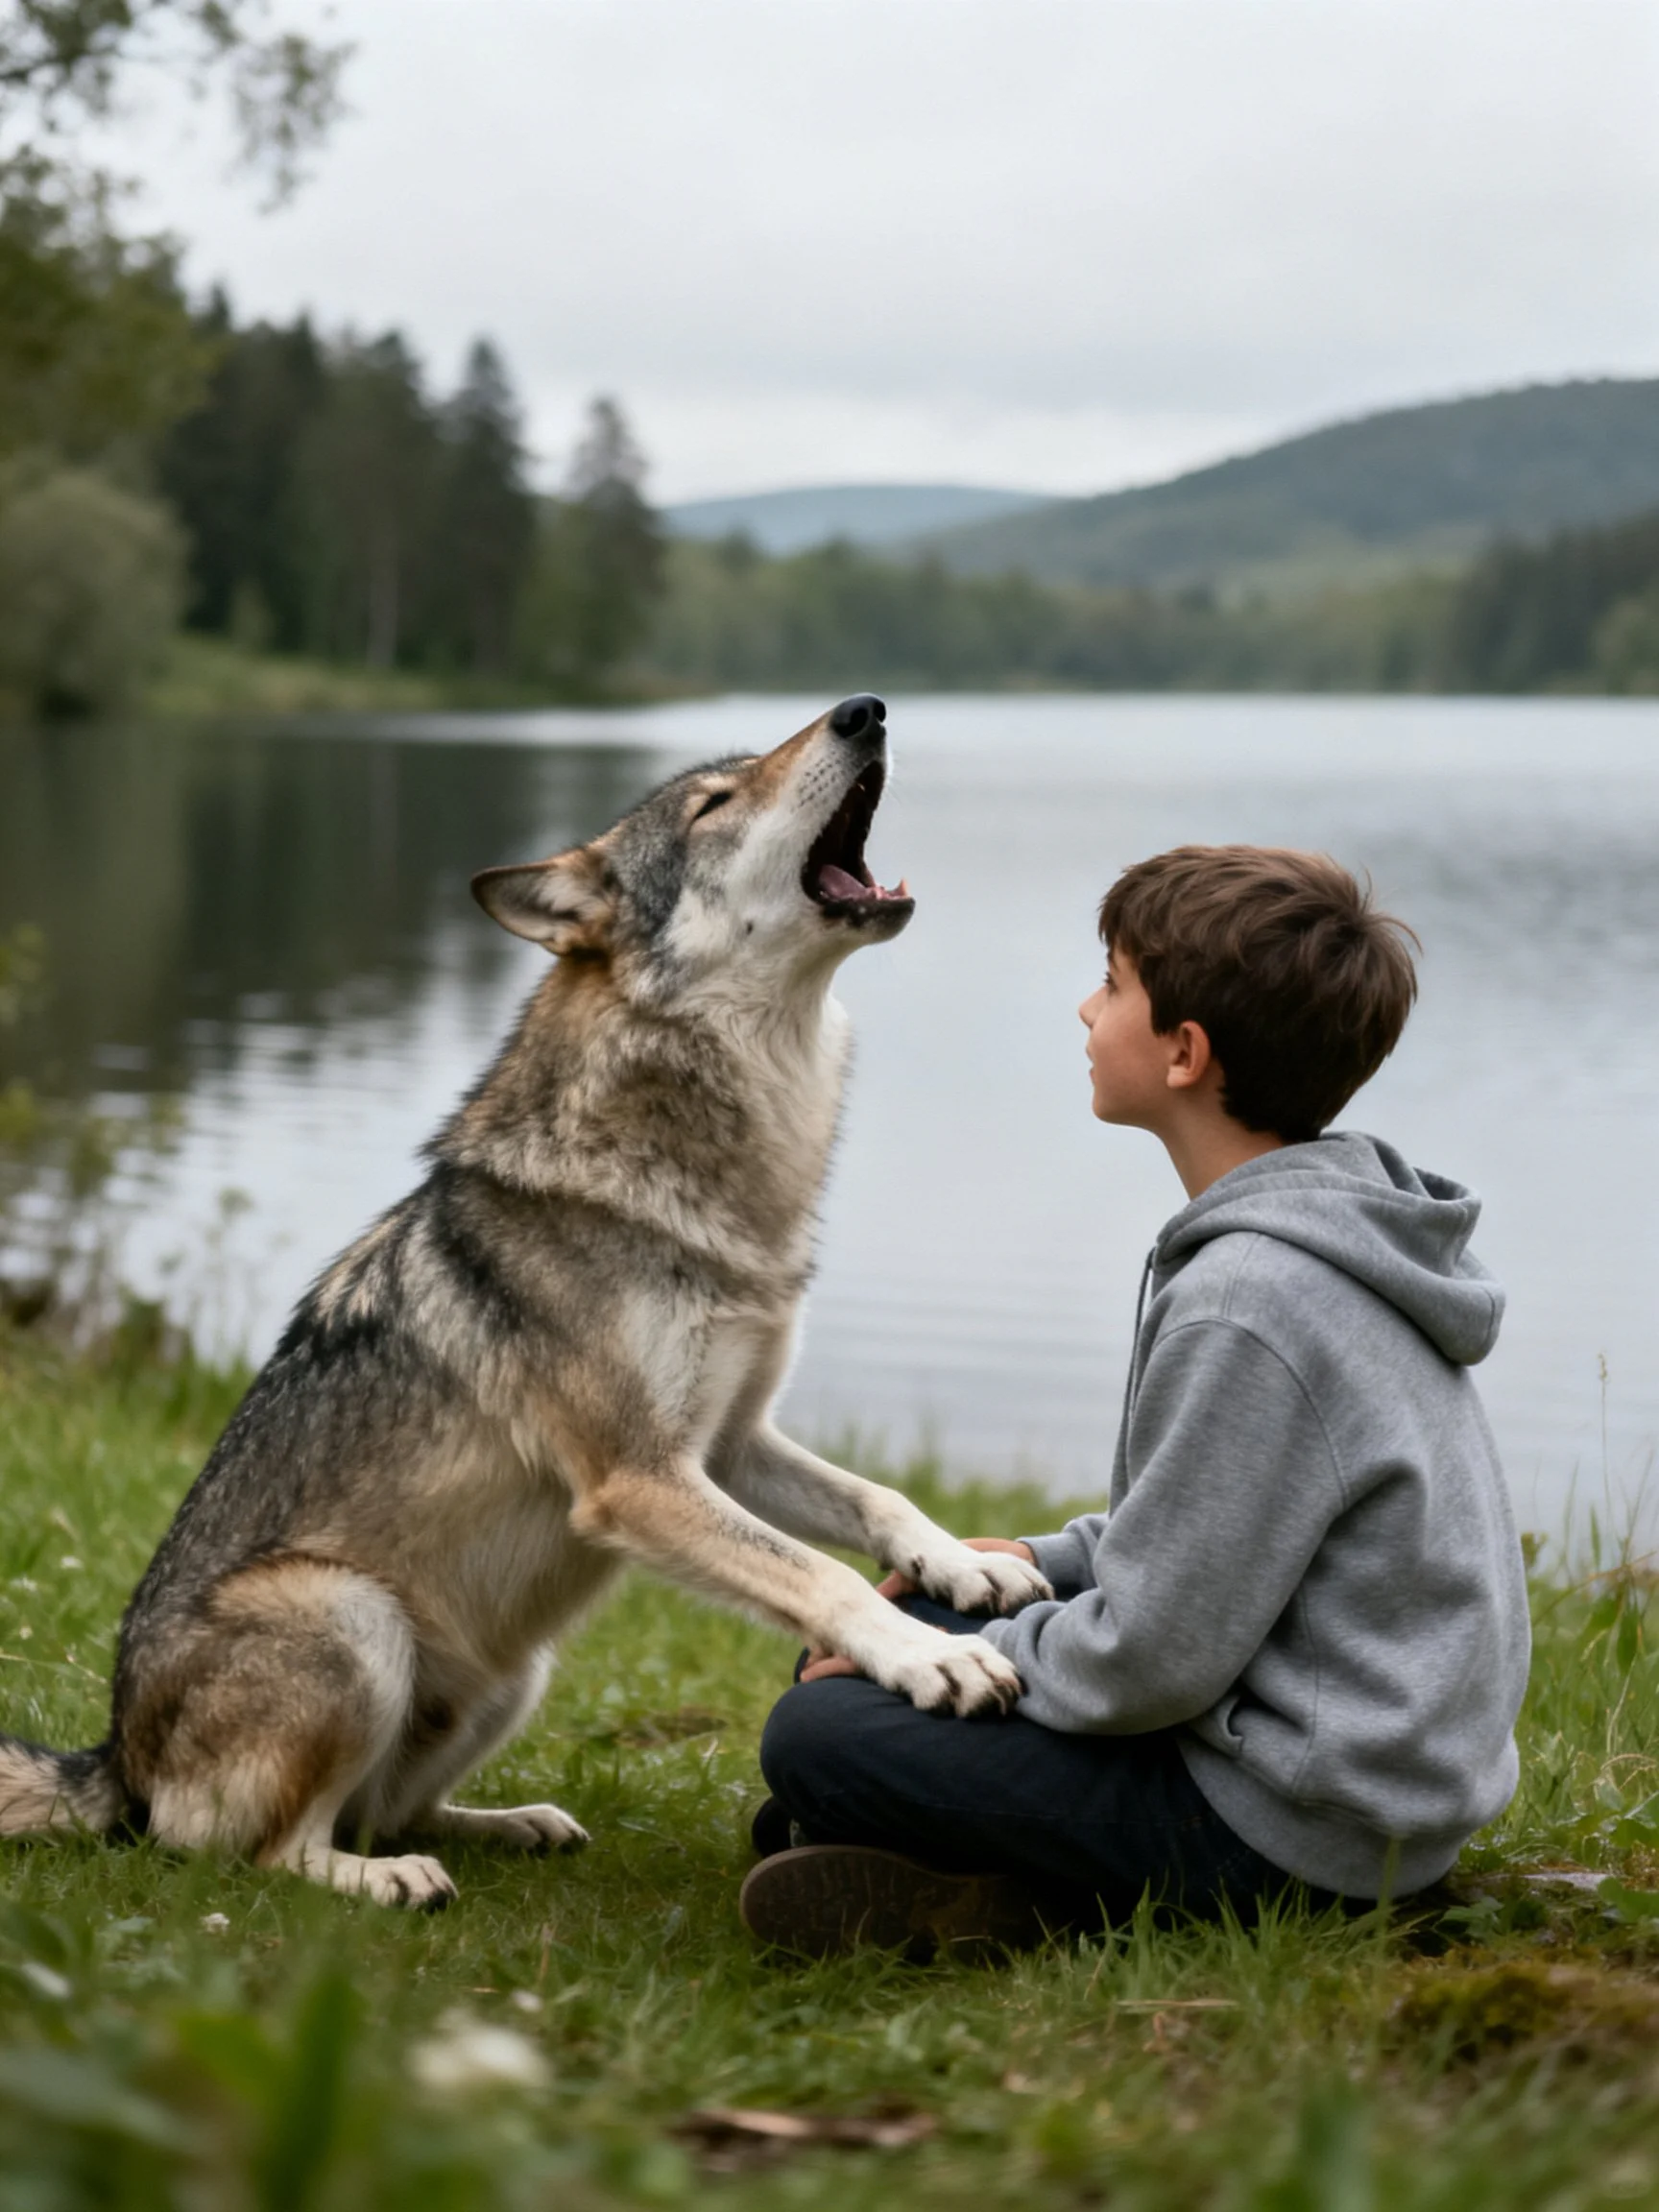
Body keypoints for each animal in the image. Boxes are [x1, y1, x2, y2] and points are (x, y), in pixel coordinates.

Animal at [0, 696, 1052, 1907]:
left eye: (745, 773)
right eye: (715, 802)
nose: (864, 710)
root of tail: (111, 1763)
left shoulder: (729, 1444)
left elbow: (881, 1502)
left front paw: (966, 1565)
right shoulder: (640, 1479)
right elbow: (825, 1576)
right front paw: (933, 1657)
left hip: (516, 1670)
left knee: (386, 1811)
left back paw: (513, 1824)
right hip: (350, 1616)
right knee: (251, 1850)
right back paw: (387, 1883)